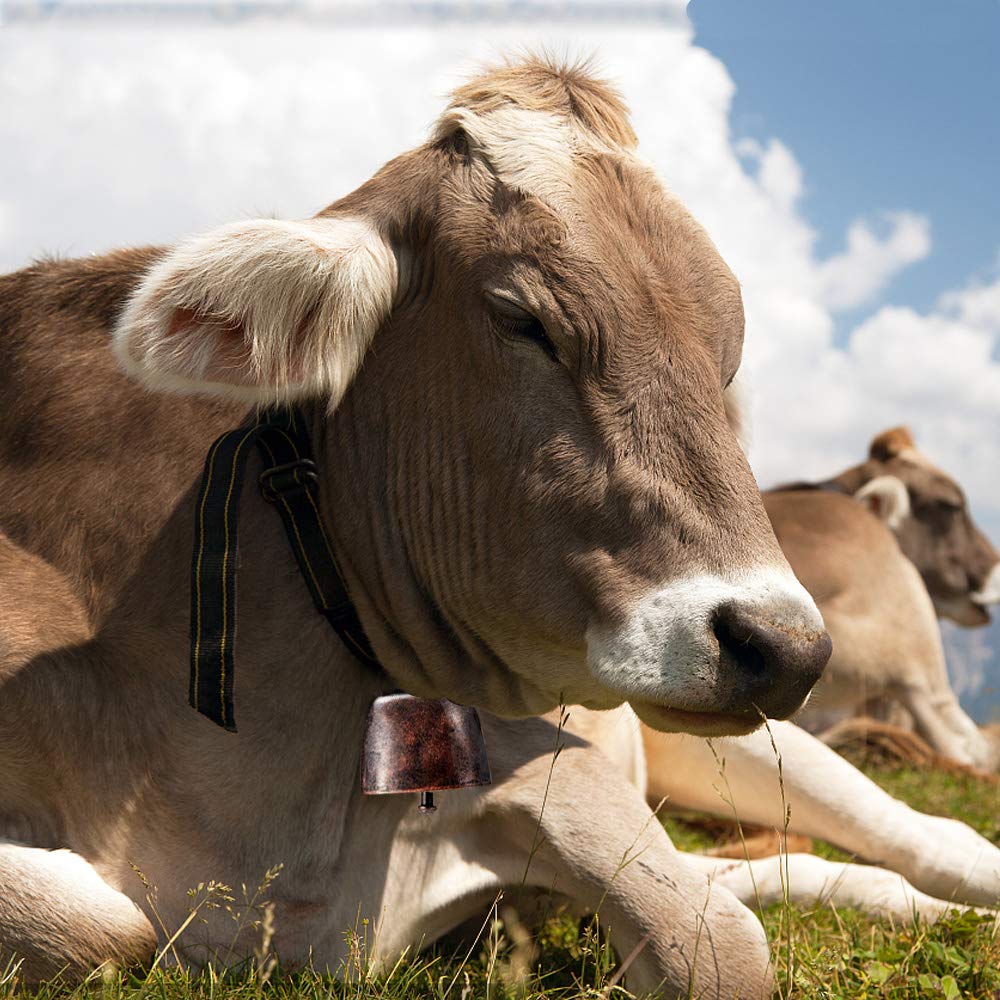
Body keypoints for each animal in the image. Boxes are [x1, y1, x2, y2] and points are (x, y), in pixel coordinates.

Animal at [0, 58, 995, 998]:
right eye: (525, 320)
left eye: (728, 355)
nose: (780, 646)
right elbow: (101, 923)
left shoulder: (552, 762)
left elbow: (720, 945)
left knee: (924, 834)